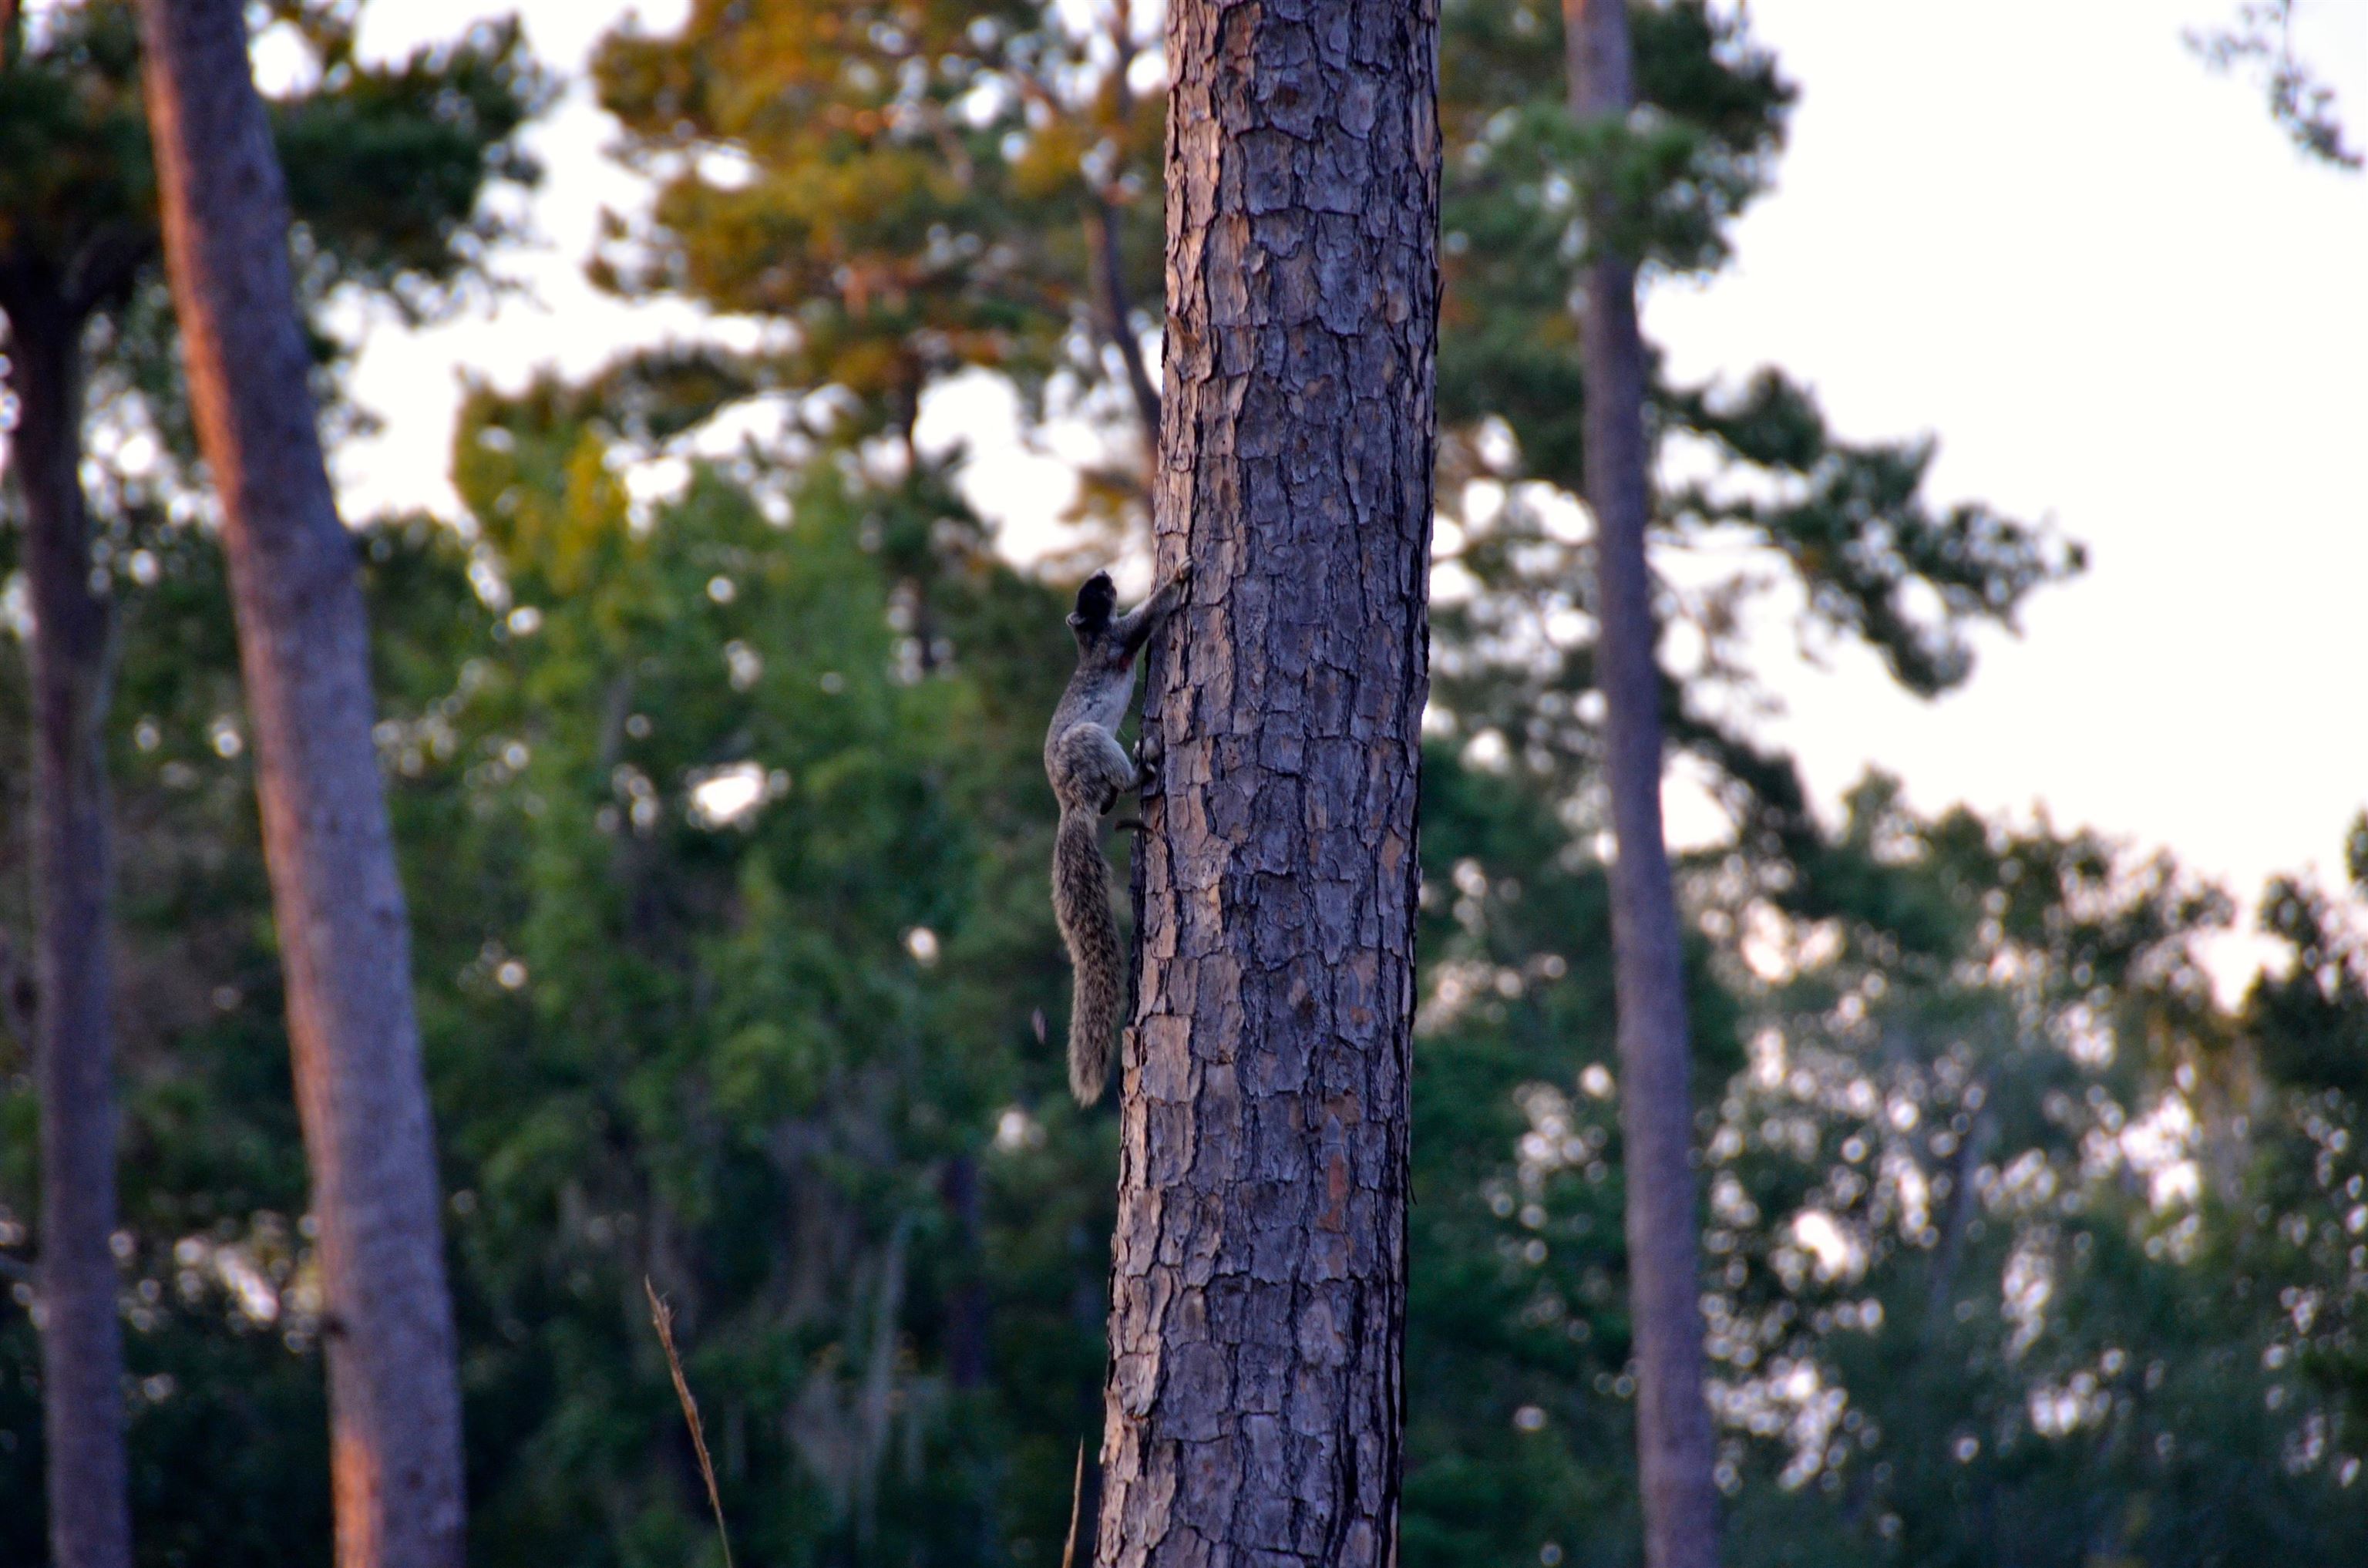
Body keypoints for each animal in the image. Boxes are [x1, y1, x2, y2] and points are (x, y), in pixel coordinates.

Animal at [1051, 561, 1193, 1103]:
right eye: (1093, 595)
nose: (1105, 573)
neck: (1091, 639)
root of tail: (1072, 805)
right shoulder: (1121, 637)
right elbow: (1150, 615)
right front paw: (1179, 576)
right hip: (1090, 743)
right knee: (1121, 778)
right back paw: (1143, 764)